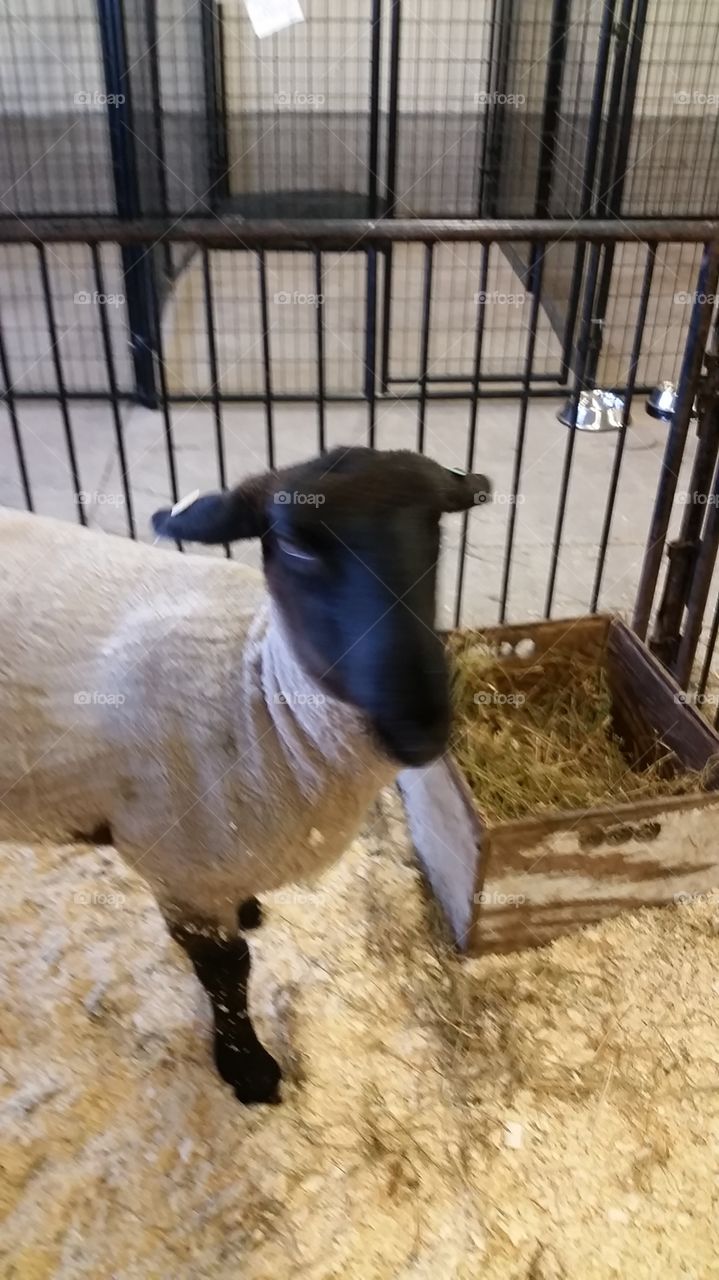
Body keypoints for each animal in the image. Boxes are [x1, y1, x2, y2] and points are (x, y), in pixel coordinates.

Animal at [0, 446, 490, 1103]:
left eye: (435, 532)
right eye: (298, 546)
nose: (420, 726)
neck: (257, 691)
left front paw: (252, 911)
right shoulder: (181, 869)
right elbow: (226, 970)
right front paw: (249, 1070)